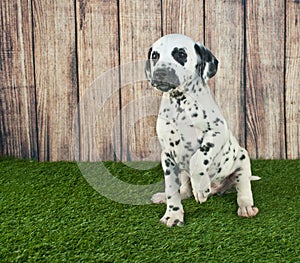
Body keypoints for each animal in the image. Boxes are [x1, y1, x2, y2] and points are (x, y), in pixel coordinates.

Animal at [144, 34, 258, 228]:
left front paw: (201, 185)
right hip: (182, 173)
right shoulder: (167, 156)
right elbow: (171, 189)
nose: (160, 73)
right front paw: (173, 215)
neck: (181, 104)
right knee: (184, 191)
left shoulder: (217, 133)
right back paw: (165, 197)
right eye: (155, 56)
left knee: (243, 186)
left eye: (181, 54)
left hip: (242, 161)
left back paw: (245, 207)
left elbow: (198, 157)